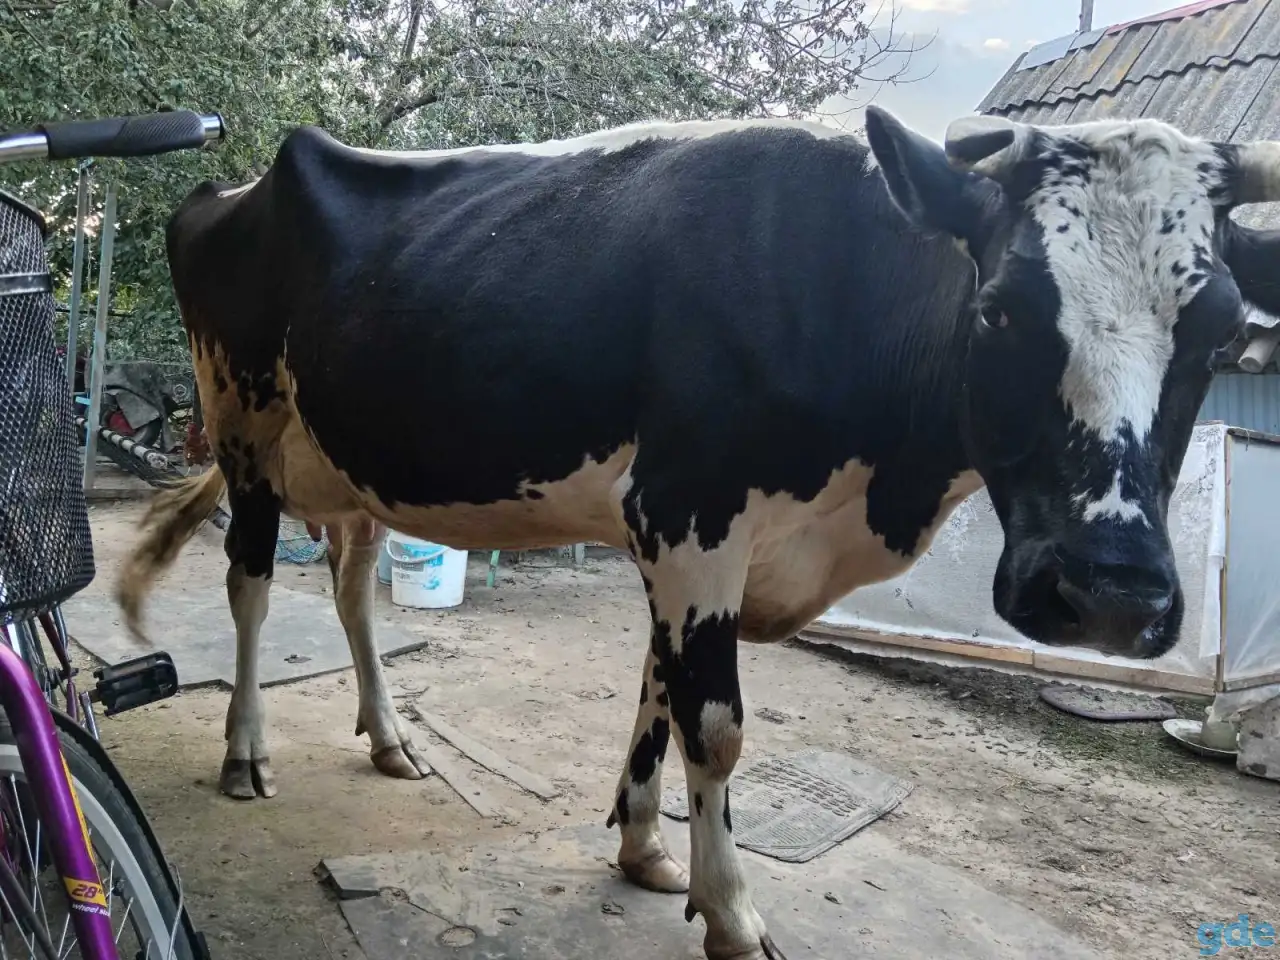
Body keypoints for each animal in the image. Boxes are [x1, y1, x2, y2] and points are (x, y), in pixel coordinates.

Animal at [118, 104, 1280, 960]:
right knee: (251, 585)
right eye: (996, 307)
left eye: (1223, 334)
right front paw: (731, 912)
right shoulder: (686, 511)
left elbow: (659, 695)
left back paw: (391, 737)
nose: (1111, 594)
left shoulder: (688, 539)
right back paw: (245, 752)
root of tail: (230, 187)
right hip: (241, 420)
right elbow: (713, 725)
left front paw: (641, 850)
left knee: (354, 590)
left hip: (352, 463)